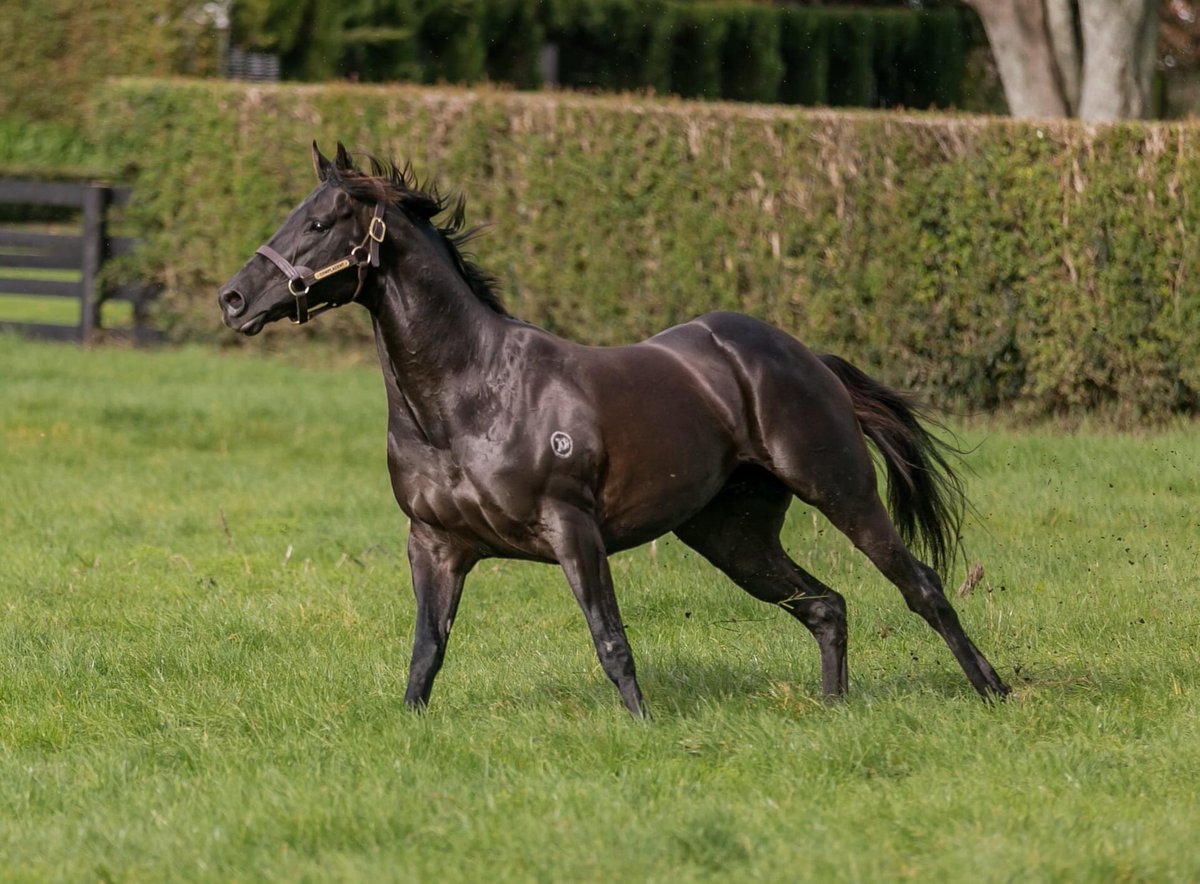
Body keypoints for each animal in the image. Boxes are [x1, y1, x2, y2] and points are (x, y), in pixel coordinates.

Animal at [218, 143, 1009, 717]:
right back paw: (835, 711)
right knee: (825, 605)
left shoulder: (574, 530)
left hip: (840, 489)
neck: (469, 398)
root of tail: (805, 356)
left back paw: (995, 691)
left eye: (320, 224)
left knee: (920, 585)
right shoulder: (434, 544)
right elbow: (425, 655)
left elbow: (611, 642)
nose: (232, 299)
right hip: (730, 535)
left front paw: (645, 727)